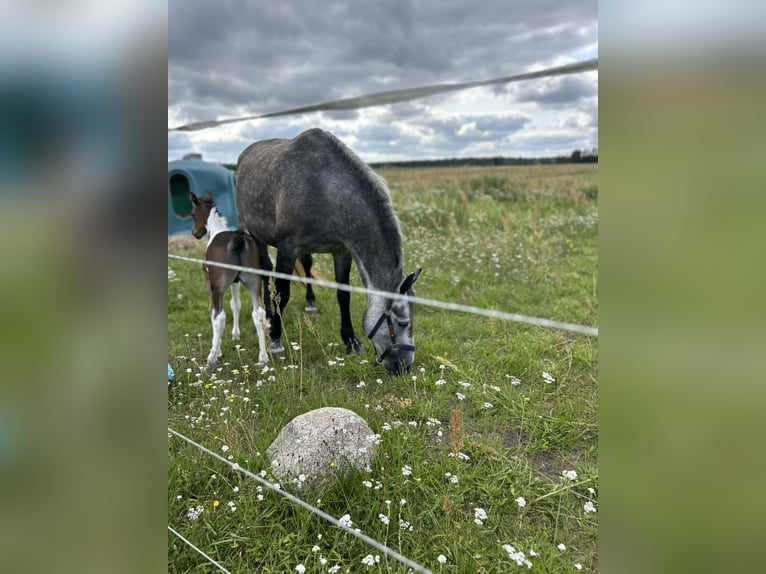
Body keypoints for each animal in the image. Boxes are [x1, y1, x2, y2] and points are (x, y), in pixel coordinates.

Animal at [190, 191, 270, 366]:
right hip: (253, 281)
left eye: (192, 214)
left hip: (219, 286)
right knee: (258, 313)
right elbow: (236, 304)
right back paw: (263, 357)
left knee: (219, 316)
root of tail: (238, 243)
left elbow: (213, 312)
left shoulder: (210, 283)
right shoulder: (236, 282)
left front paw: (218, 349)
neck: (216, 229)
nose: (195, 233)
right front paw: (235, 334)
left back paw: (211, 357)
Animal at [237, 128, 424, 376]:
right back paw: (268, 315)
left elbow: (343, 295)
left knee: (305, 267)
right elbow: (283, 294)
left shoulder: (341, 251)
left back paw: (309, 304)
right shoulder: (287, 249)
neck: (323, 188)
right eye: (403, 322)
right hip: (256, 236)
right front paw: (276, 340)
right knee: (266, 271)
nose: (405, 367)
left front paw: (351, 341)